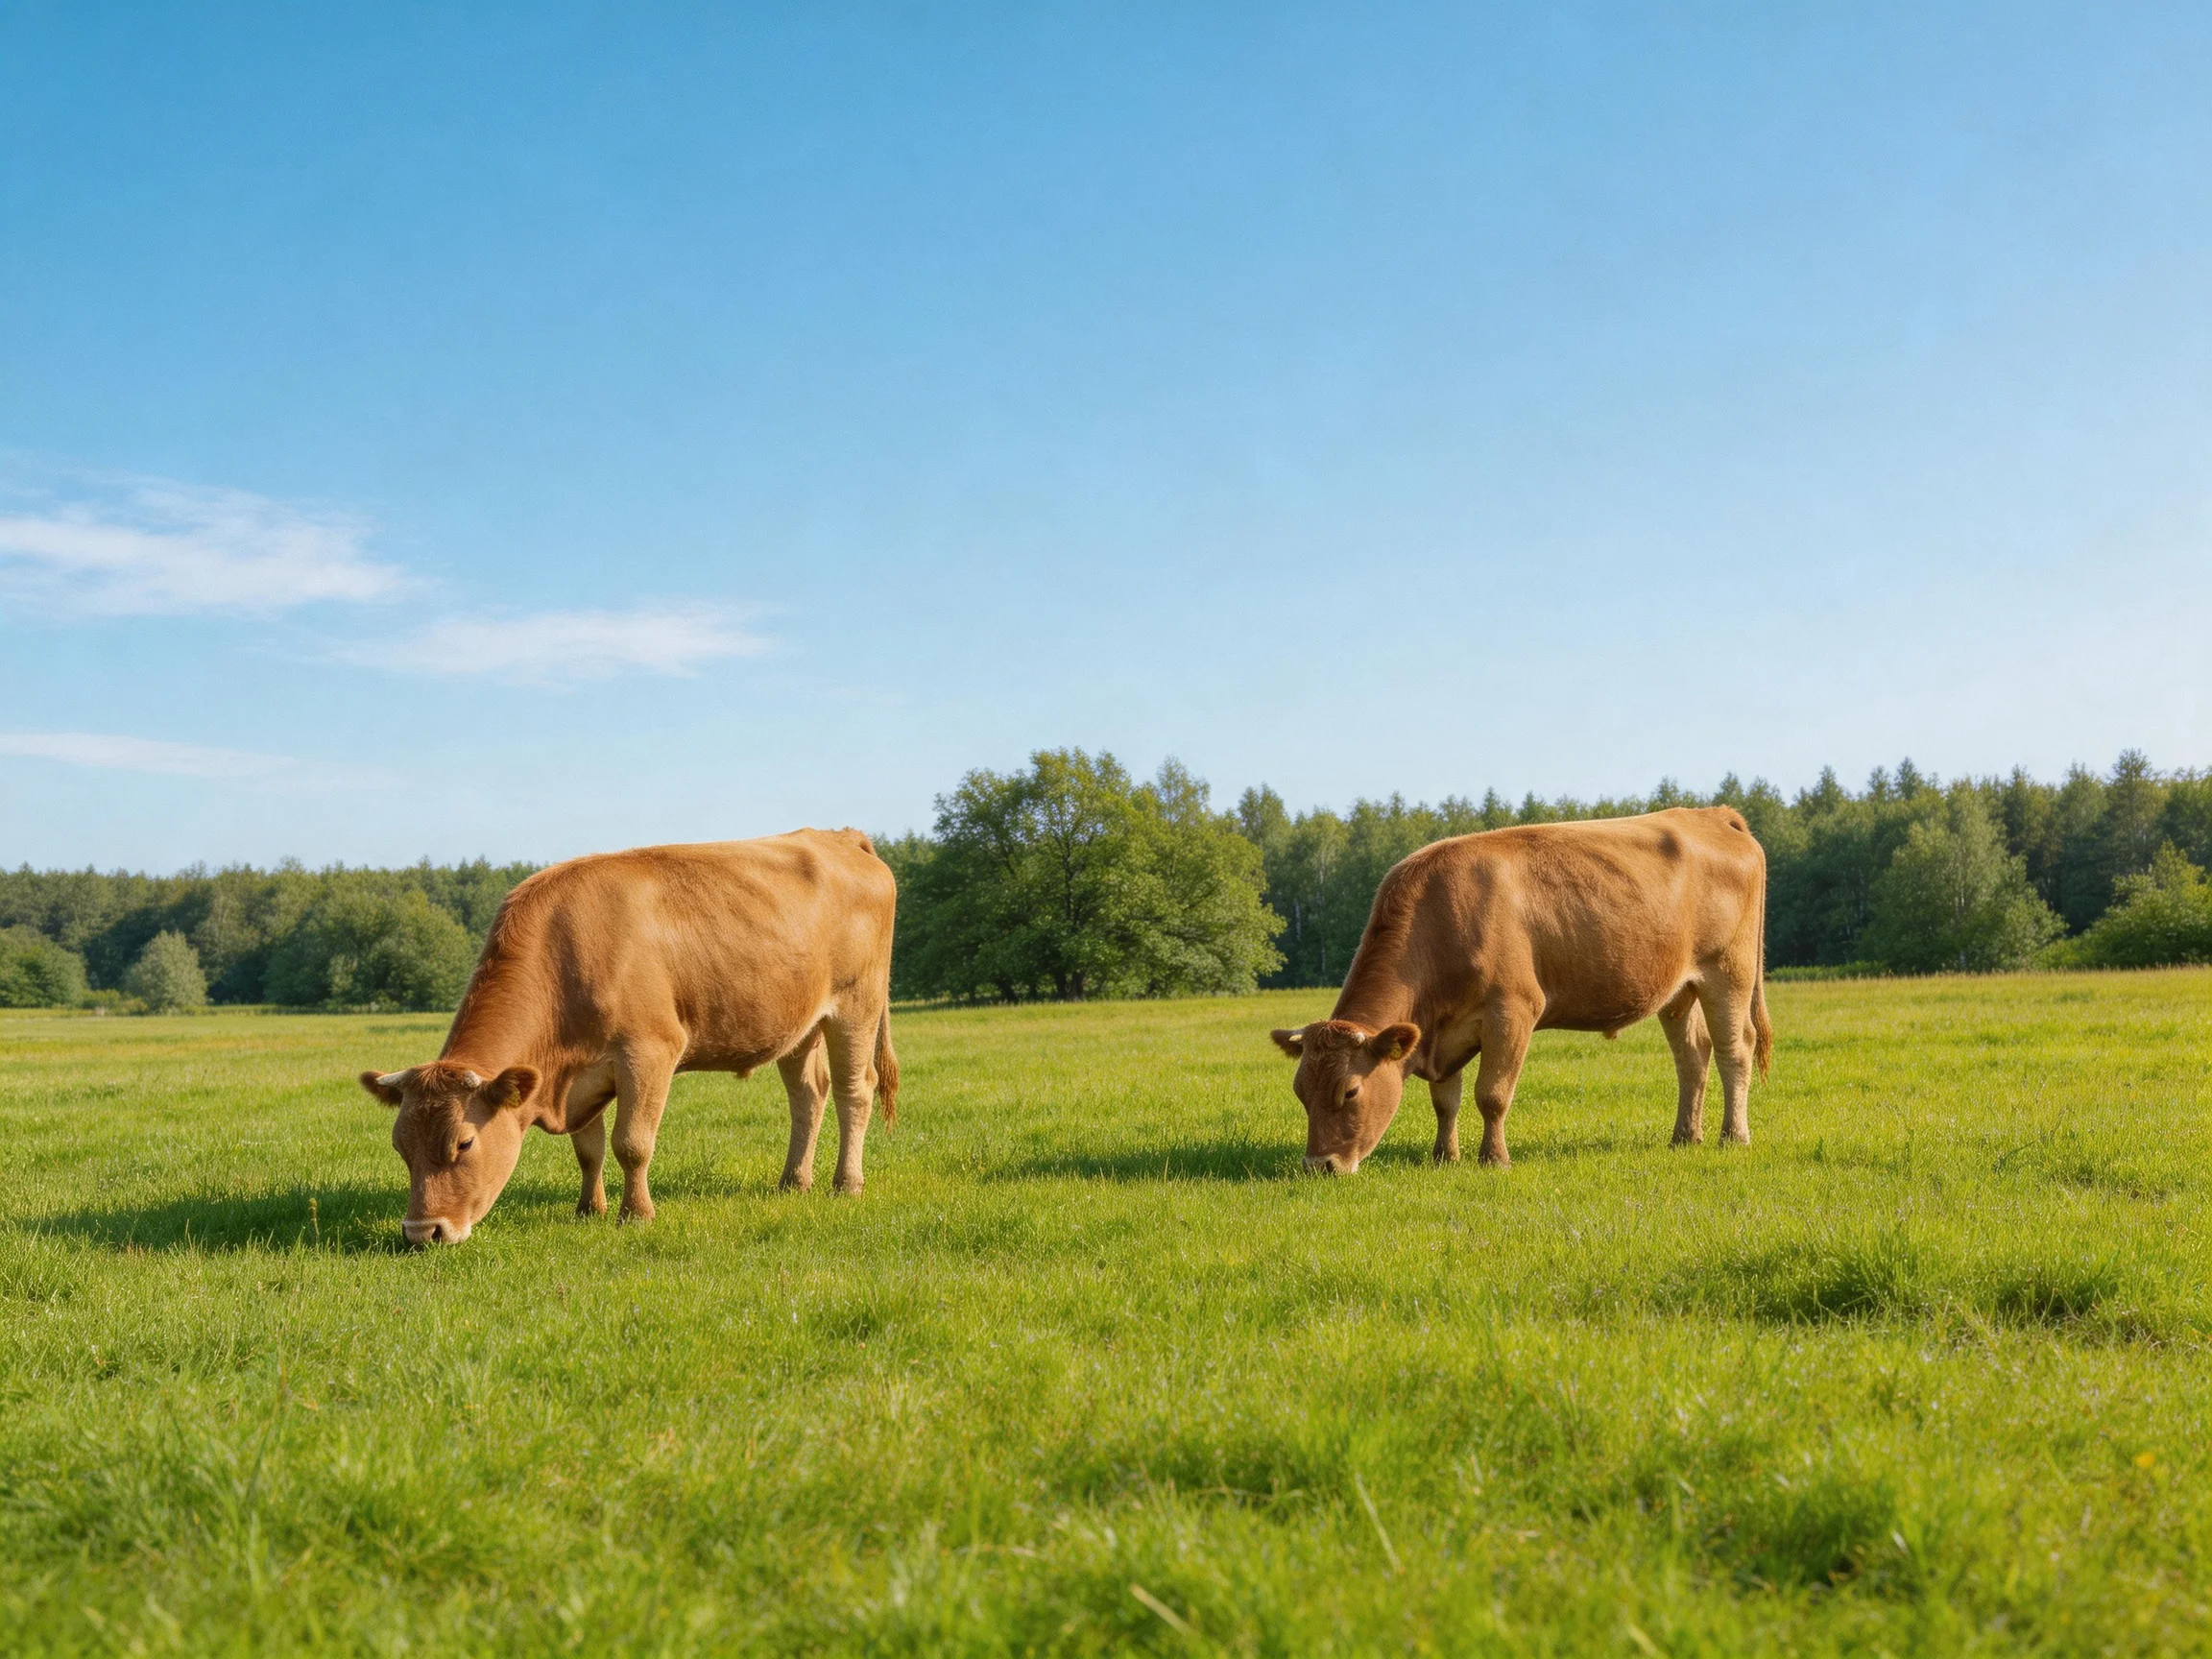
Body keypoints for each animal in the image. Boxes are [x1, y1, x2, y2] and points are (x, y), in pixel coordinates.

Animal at [359, 828, 899, 1244]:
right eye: (400, 1146)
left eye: (464, 1143)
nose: (421, 1232)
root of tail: (838, 836)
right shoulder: (576, 1074)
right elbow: (588, 1149)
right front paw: (589, 1210)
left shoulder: (649, 1051)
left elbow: (631, 1143)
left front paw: (635, 1215)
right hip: (801, 1025)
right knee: (808, 1096)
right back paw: (793, 1182)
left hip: (857, 1006)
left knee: (854, 1091)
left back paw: (846, 1184)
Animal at [1270, 807, 1771, 1174]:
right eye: (1299, 1091)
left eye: (1351, 1091)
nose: (1318, 1165)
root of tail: (1711, 813)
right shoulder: (1441, 1026)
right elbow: (1445, 1102)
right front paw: (1444, 1157)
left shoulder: (1512, 1010)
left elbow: (1491, 1095)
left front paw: (1493, 1159)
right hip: (1679, 989)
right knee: (1693, 1057)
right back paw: (1684, 1137)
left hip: (1729, 971)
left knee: (1734, 1050)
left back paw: (1734, 1136)